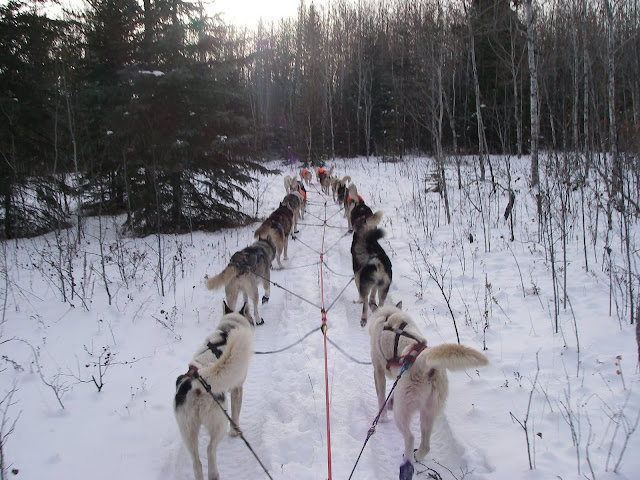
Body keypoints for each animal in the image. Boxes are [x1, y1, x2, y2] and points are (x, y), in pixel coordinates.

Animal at [174, 301, 255, 480]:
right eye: (250, 317)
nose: (255, 322)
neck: (228, 330)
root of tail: (197, 382)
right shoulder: (237, 388)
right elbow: (236, 414)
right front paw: (235, 432)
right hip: (219, 422)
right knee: (210, 449)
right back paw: (214, 473)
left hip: (188, 432)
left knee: (197, 463)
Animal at [368, 302, 488, 480]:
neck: (388, 315)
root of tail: (424, 362)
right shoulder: (397, 377)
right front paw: (389, 403)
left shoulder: (378, 370)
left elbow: (381, 397)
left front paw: (382, 417)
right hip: (429, 413)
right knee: (426, 445)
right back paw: (417, 456)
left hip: (402, 412)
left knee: (410, 437)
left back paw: (407, 463)